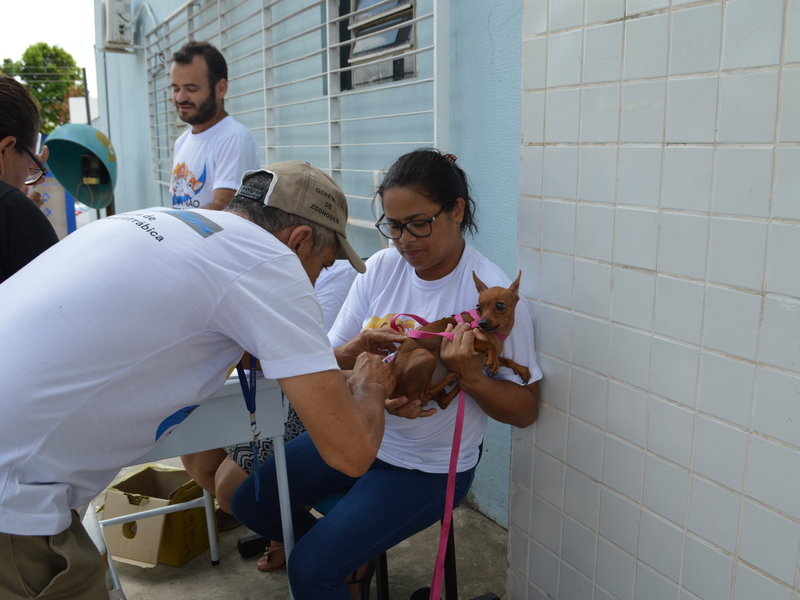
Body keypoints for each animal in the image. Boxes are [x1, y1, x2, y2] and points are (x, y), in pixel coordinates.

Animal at [390, 270, 532, 408]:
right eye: (479, 307)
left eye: (500, 305)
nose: (482, 323)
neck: (497, 334)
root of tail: (394, 390)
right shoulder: (471, 341)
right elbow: (490, 346)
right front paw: (494, 364)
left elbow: (506, 359)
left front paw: (520, 368)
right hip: (424, 354)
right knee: (426, 393)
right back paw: (450, 378)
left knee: (443, 401)